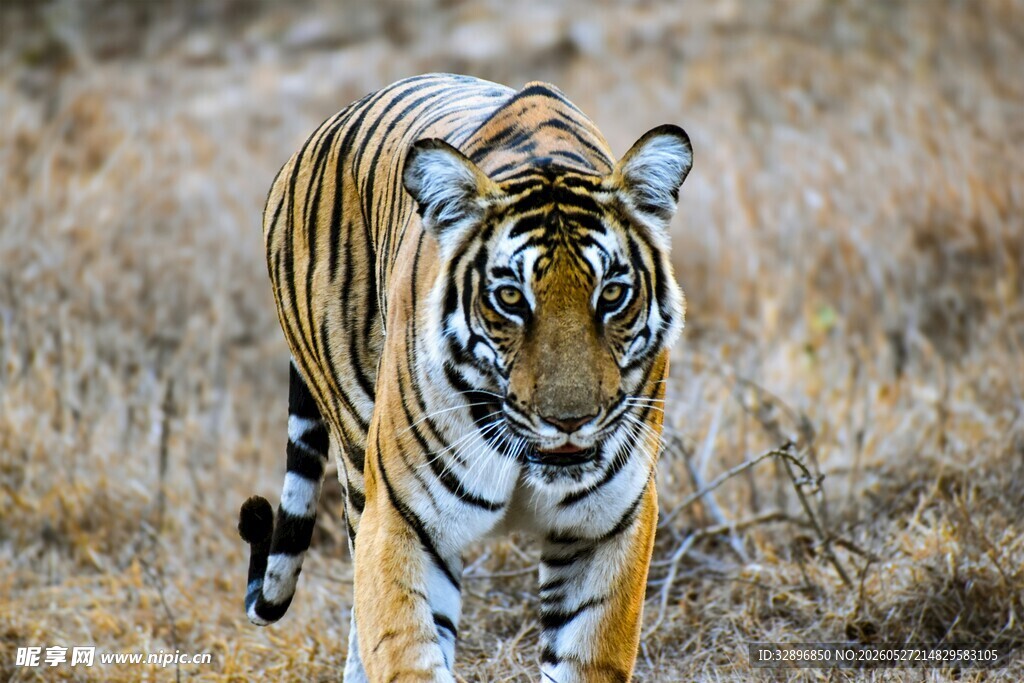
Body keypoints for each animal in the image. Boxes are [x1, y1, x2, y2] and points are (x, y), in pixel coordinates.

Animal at [237, 73, 692, 682]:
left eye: (613, 294)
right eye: (511, 299)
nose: (569, 421)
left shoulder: (609, 526)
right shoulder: (401, 519)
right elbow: (405, 649)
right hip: (356, 461)